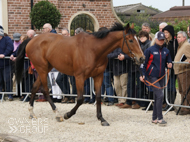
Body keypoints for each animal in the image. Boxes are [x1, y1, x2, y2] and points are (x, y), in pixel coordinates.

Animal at [15, 22, 145, 126]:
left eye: (138, 39)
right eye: (131, 40)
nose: (142, 58)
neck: (94, 49)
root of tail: (31, 40)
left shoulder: (98, 76)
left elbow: (98, 97)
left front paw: (102, 119)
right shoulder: (79, 77)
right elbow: (80, 99)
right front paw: (68, 114)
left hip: (45, 69)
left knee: (35, 87)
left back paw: (32, 112)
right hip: (41, 69)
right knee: (45, 91)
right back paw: (58, 114)